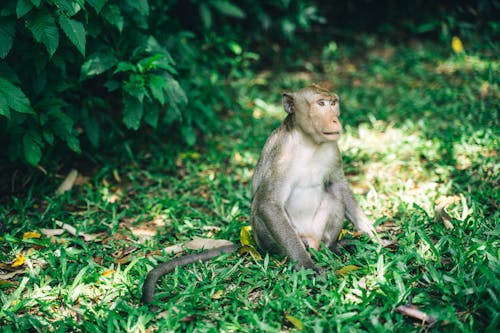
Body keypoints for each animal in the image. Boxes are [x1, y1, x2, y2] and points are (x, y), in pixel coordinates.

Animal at [141, 85, 376, 306]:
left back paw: (332, 247)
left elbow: (340, 186)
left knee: (333, 194)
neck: (309, 142)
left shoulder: (332, 150)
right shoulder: (280, 156)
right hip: (267, 238)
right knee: (260, 212)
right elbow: (267, 204)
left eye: (333, 103)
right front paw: (306, 265)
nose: (335, 119)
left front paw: (374, 237)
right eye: (321, 104)